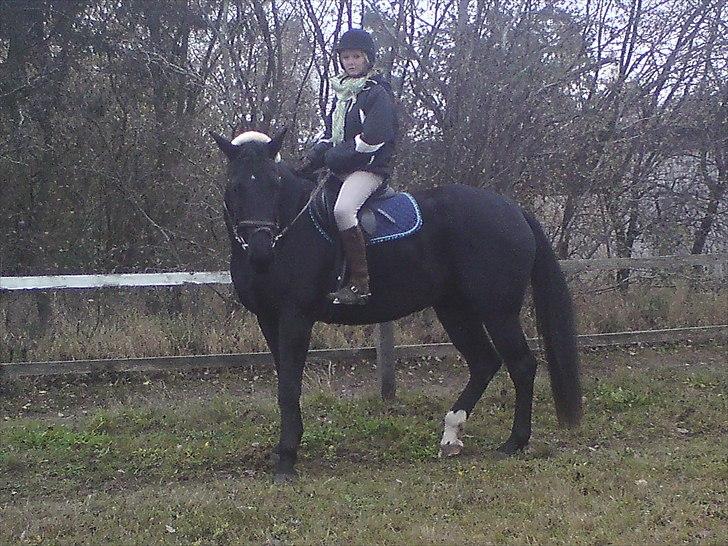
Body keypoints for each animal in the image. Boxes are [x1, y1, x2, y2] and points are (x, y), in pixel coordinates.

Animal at [213, 127, 584, 480]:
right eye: (235, 186)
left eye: (275, 184)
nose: (261, 251)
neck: (293, 228)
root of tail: (512, 209)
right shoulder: (268, 318)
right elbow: (284, 384)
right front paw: (285, 451)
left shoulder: (295, 317)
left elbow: (289, 387)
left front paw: (287, 460)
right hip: (455, 310)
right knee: (484, 362)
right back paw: (451, 436)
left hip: (498, 311)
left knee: (521, 364)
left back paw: (514, 442)